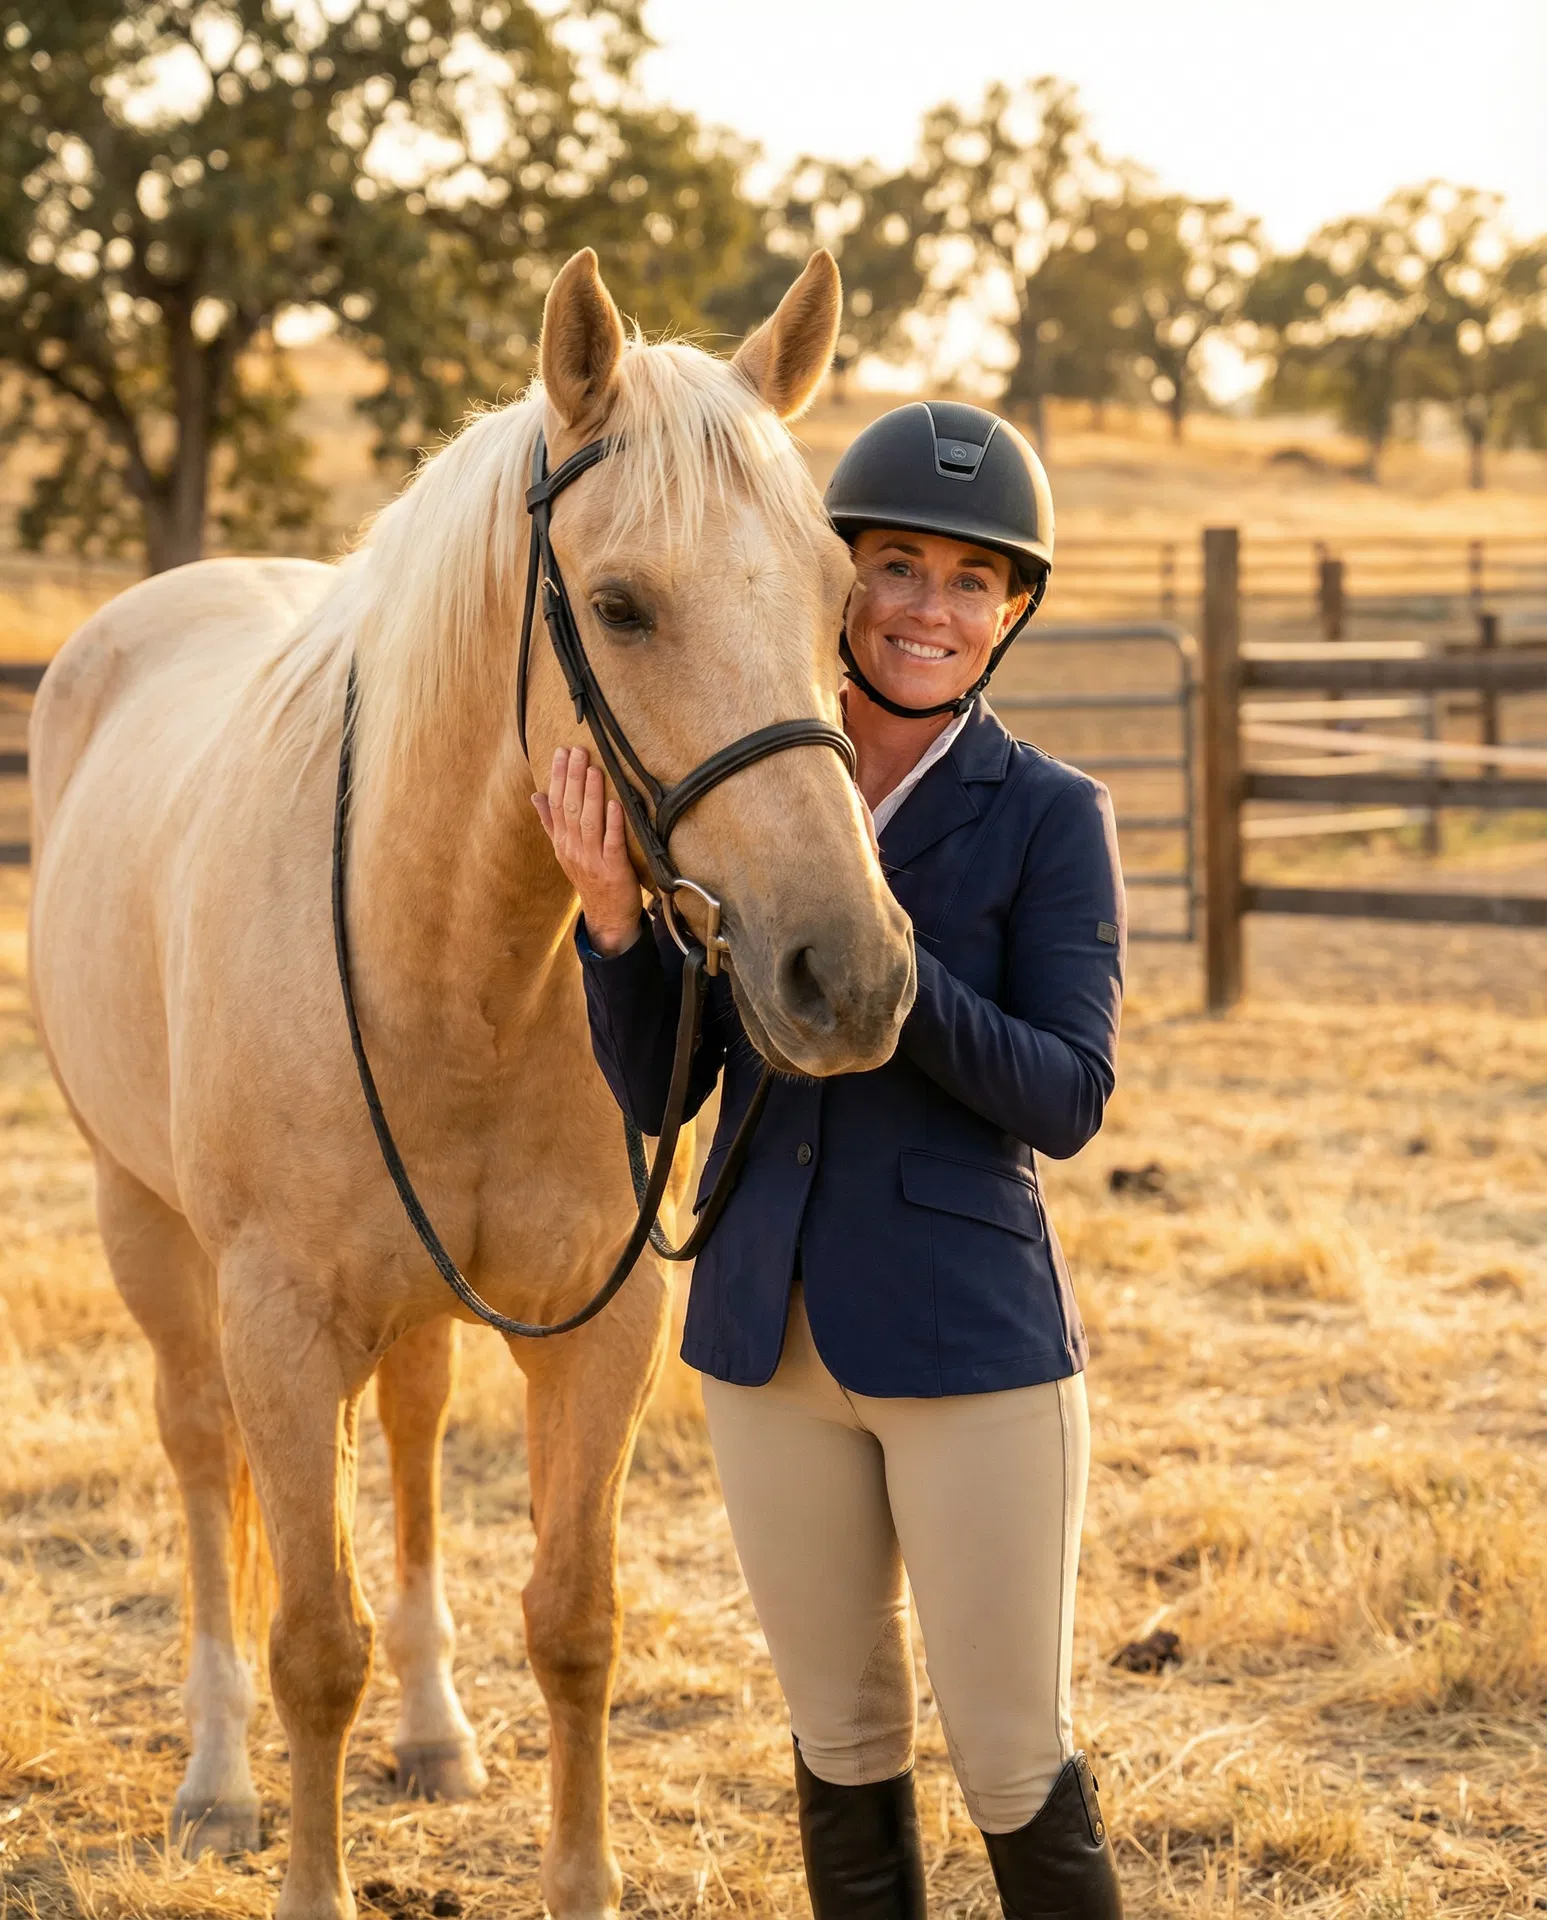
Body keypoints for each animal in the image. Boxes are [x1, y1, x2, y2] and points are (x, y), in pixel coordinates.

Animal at [26, 247, 916, 1920]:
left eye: (841, 603)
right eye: (620, 606)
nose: (851, 976)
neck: (452, 959)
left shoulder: (601, 1322)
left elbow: (572, 1620)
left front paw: (575, 1872)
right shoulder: (278, 1324)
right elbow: (314, 1646)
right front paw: (309, 1877)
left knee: (417, 1430)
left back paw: (434, 1736)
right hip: (145, 1233)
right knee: (197, 1462)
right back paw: (216, 1779)